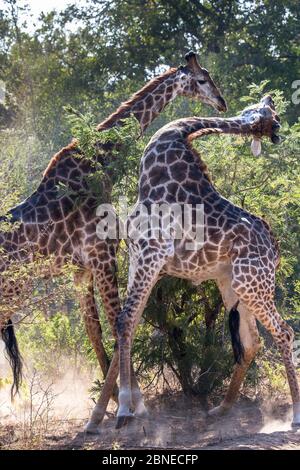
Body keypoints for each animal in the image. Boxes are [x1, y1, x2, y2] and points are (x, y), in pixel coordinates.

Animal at [0, 52, 225, 414]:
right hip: (12, 289)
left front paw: (112, 401)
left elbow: (95, 330)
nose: (221, 101)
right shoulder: (102, 255)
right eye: (202, 79)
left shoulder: (81, 269)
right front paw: (132, 400)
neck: (100, 163)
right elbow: (118, 320)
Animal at [113, 95, 300, 430]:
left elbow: (124, 319)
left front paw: (123, 410)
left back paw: (295, 415)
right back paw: (221, 409)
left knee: (284, 332)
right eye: (267, 113)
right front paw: (131, 408)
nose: (276, 129)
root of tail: (275, 250)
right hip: (232, 282)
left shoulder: (151, 253)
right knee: (252, 342)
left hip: (253, 282)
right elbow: (127, 322)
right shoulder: (138, 256)